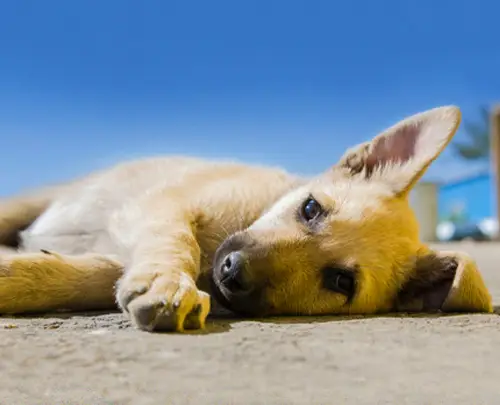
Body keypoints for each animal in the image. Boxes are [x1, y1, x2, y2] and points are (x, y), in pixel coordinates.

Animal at [0, 105, 492, 332]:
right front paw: (167, 281)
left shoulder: (122, 254)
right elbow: (175, 240)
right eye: (310, 208)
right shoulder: (164, 204)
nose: (232, 272)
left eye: (341, 282)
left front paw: (17, 278)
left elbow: (78, 276)